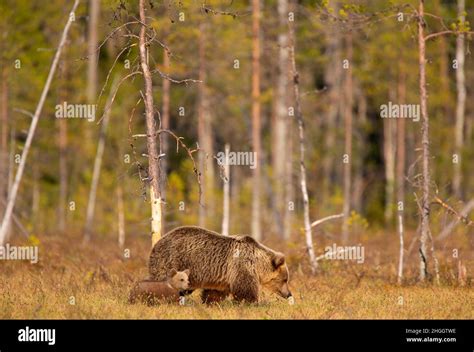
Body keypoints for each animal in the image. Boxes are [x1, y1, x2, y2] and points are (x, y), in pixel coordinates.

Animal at [149, 227, 292, 304]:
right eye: (284, 279)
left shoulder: (223, 277)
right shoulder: (241, 266)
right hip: (171, 262)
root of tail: (157, 243)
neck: (257, 264)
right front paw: (253, 303)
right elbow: (246, 289)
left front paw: (210, 302)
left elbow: (215, 293)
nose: (289, 294)